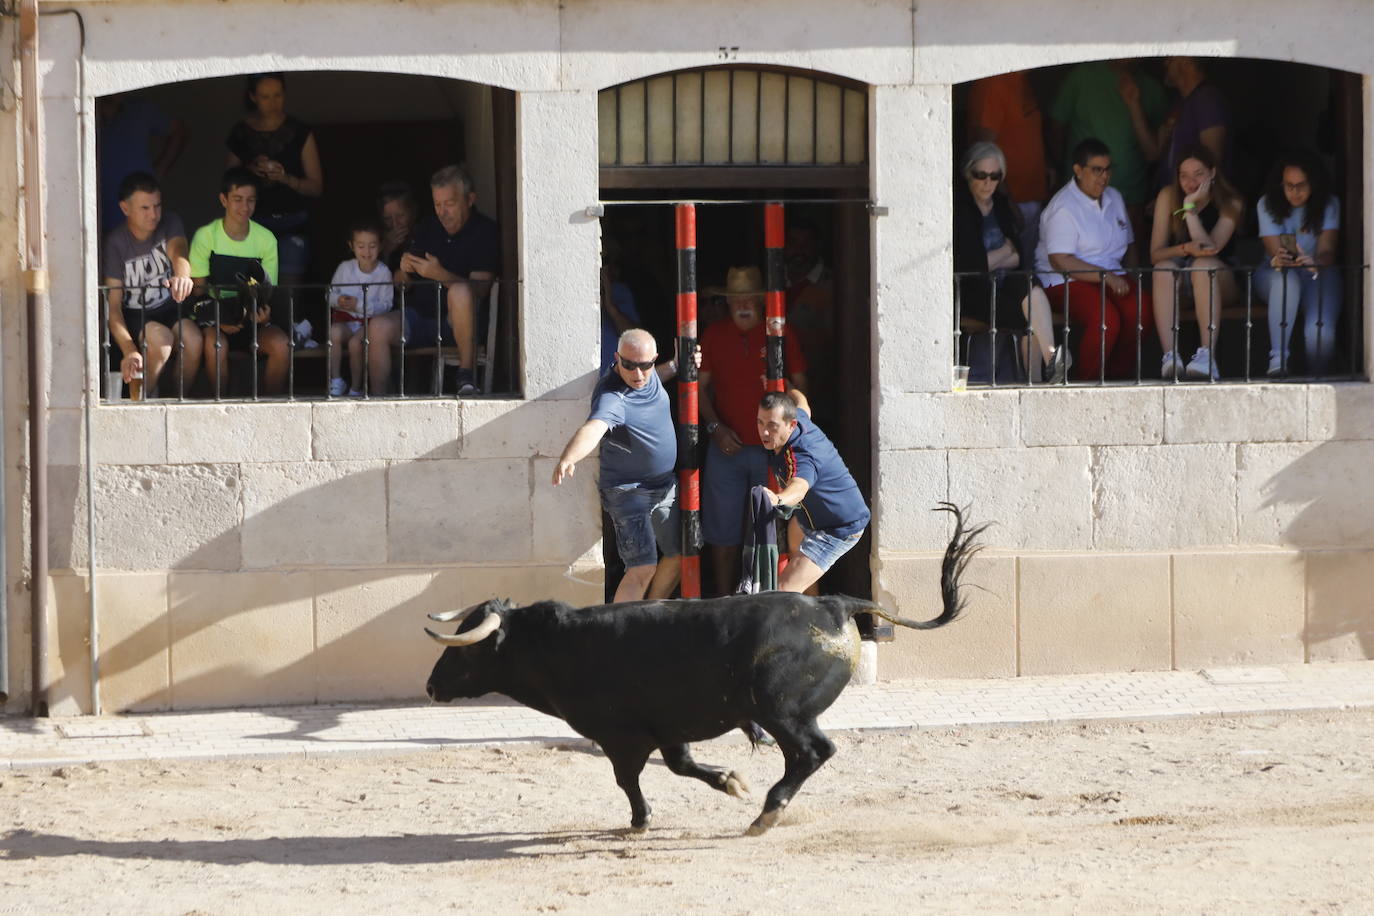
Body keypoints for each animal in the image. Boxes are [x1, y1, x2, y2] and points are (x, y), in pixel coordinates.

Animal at [423, 505, 983, 834]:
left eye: (466, 652)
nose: (430, 686)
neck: (556, 645)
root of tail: (836, 604)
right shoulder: (667, 729)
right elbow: (681, 765)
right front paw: (731, 781)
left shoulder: (620, 735)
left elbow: (628, 780)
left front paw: (640, 821)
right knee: (804, 755)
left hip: (782, 712)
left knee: (812, 752)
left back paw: (768, 813)